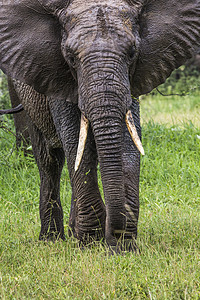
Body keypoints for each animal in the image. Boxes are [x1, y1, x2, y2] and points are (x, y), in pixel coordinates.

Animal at [0, 1, 200, 252]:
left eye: (132, 53)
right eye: (70, 57)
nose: (114, 242)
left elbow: (127, 141)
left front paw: (122, 243)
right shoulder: (57, 75)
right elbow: (75, 143)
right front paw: (91, 242)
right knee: (50, 161)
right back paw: (51, 238)